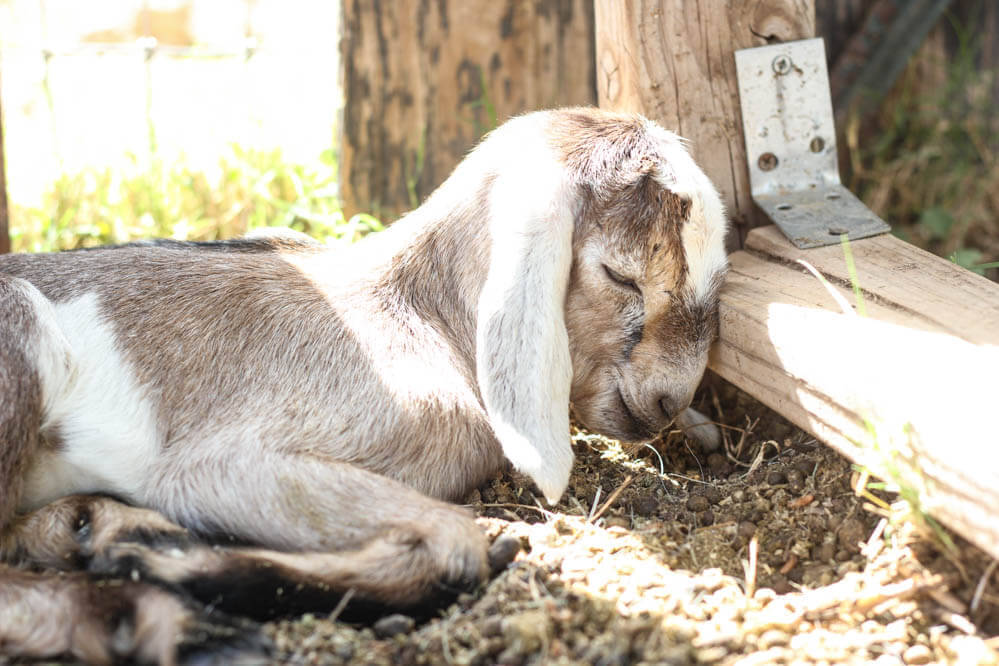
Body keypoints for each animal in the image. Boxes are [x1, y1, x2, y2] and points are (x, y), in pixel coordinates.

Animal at [3, 107, 732, 660]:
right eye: (620, 275)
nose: (669, 399)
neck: (421, 313)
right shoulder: (214, 464)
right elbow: (454, 542)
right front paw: (163, 567)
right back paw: (168, 619)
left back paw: (95, 532)